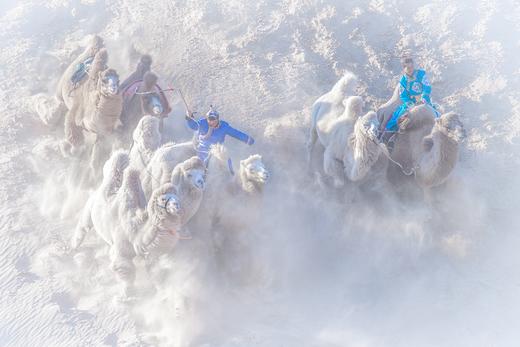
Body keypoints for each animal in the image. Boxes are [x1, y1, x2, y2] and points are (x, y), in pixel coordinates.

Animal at [70, 151, 182, 294]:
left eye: (176, 196)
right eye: (164, 199)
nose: (176, 206)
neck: (136, 231)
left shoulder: (146, 252)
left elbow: (153, 268)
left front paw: (160, 287)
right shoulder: (121, 248)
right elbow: (124, 268)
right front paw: (128, 292)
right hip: (89, 209)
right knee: (82, 227)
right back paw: (73, 247)